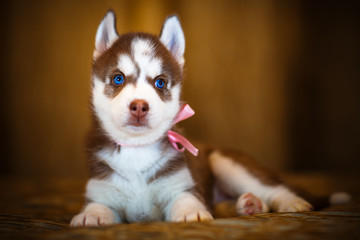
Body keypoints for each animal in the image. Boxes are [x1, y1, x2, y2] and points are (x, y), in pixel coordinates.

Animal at [70, 9, 346, 227]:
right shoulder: (102, 189)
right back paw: (248, 205)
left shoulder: (182, 186)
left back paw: (291, 202)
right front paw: (90, 216)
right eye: (118, 78)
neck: (137, 151)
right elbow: (98, 205)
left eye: (160, 83)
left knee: (273, 189)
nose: (139, 106)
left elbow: (187, 200)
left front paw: (192, 212)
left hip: (225, 162)